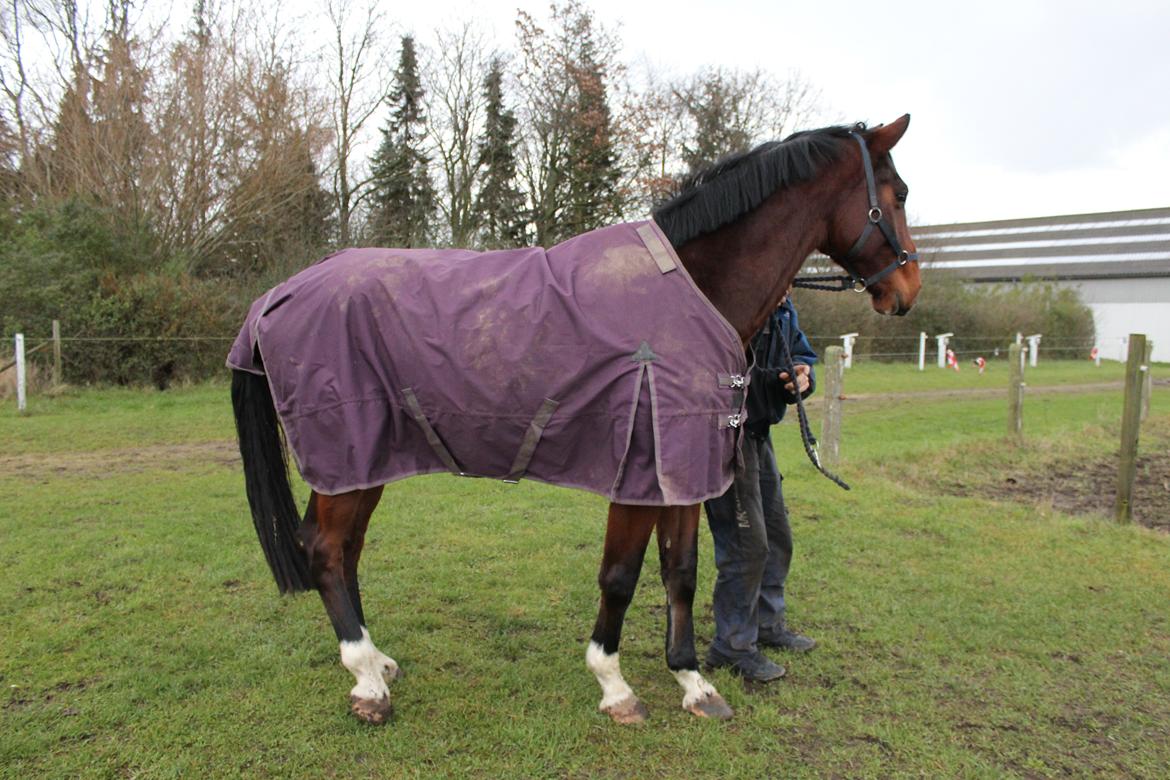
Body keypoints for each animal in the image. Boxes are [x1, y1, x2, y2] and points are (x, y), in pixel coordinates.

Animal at [230, 114, 921, 725]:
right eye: (900, 194)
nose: (907, 290)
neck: (693, 290)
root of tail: (277, 295)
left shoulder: (683, 472)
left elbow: (681, 573)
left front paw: (694, 683)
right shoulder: (638, 475)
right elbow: (619, 577)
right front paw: (615, 687)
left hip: (360, 464)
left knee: (341, 551)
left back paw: (376, 664)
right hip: (346, 456)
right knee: (325, 550)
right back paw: (369, 686)